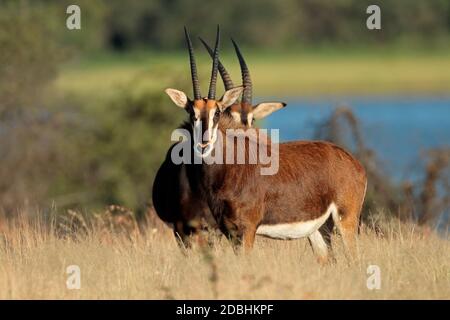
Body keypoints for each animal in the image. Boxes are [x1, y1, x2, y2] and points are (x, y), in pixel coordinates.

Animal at [163, 26, 368, 262]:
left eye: (217, 112)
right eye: (192, 113)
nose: (204, 143)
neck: (229, 168)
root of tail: (353, 162)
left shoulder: (248, 229)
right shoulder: (229, 231)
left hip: (346, 219)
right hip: (318, 229)